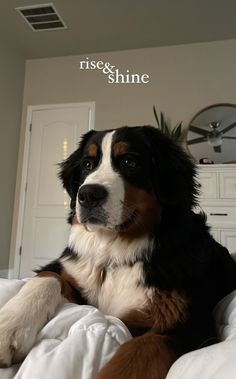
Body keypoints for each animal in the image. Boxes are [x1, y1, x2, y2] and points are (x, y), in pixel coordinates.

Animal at [0, 126, 236, 378]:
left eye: (129, 162)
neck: (113, 255)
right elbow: (47, 277)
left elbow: (139, 352)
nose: (88, 195)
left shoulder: (189, 323)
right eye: (87, 164)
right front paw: (10, 327)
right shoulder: (73, 277)